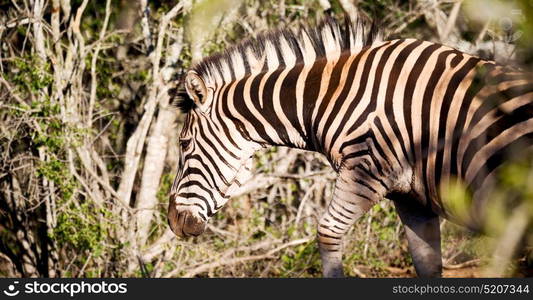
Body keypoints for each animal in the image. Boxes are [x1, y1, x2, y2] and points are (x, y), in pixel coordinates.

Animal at [169, 16, 532, 278]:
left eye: (184, 144)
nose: (173, 223)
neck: (333, 95)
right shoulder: (410, 198)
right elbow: (427, 263)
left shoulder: (365, 171)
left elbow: (327, 234)